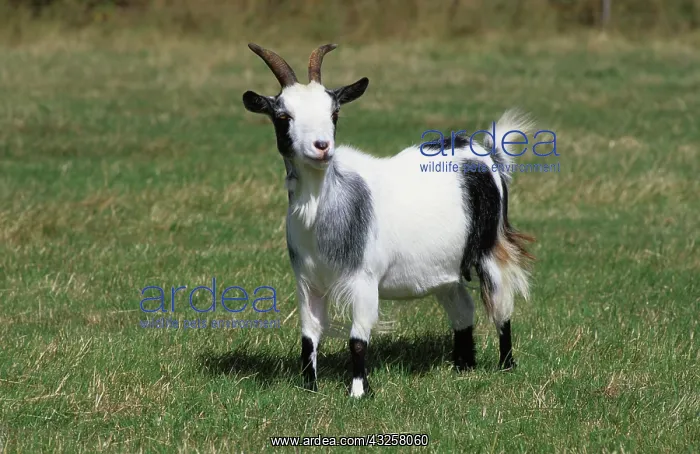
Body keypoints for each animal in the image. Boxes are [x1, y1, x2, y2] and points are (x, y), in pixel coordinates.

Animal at [242, 43, 535, 398]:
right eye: (283, 116)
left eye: (334, 114)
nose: (322, 147)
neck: (323, 215)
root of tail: (486, 154)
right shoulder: (307, 281)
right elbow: (309, 336)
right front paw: (309, 387)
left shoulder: (364, 279)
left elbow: (357, 339)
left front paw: (358, 392)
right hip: (444, 266)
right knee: (462, 306)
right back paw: (463, 366)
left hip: (491, 248)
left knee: (502, 304)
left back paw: (506, 365)